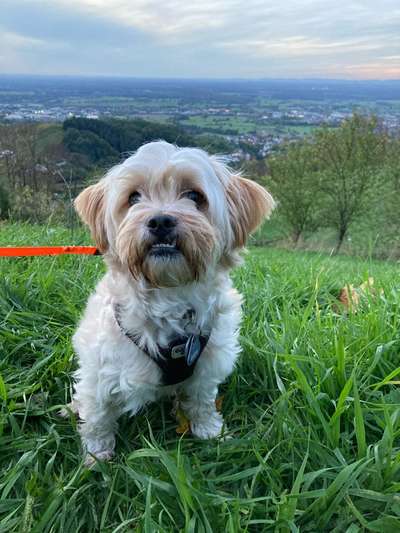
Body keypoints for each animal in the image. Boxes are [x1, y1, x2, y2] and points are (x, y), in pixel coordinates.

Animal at [69, 141, 276, 462]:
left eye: (194, 196)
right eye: (133, 197)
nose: (160, 220)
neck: (170, 295)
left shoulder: (208, 364)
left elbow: (202, 400)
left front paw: (210, 432)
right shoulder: (100, 372)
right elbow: (98, 416)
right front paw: (97, 454)